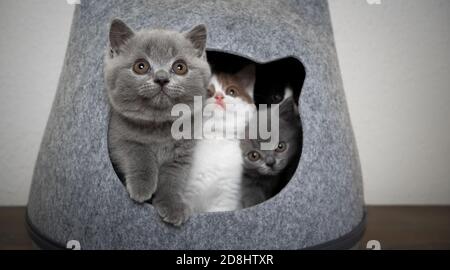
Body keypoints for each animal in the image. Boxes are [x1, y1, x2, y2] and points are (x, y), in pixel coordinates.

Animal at [105, 19, 211, 226]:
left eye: (180, 67)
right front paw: (142, 187)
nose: (162, 78)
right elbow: (139, 154)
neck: (159, 128)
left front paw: (173, 205)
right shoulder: (117, 137)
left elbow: (173, 179)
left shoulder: (182, 154)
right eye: (141, 66)